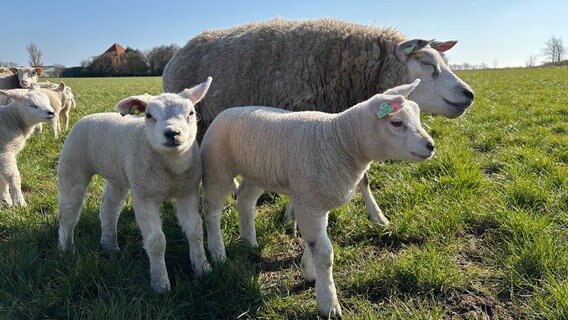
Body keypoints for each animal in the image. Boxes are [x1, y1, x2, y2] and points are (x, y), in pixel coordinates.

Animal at [58, 78, 213, 292]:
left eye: (191, 113)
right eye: (149, 115)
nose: (172, 133)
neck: (172, 170)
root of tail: (90, 116)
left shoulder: (188, 192)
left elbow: (195, 230)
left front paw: (203, 268)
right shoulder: (144, 197)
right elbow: (156, 241)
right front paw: (160, 283)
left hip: (117, 176)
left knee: (109, 208)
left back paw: (109, 245)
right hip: (72, 166)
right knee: (68, 213)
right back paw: (66, 249)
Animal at [163, 18, 474, 225]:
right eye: (428, 65)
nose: (469, 95)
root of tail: (176, 55)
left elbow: (364, 178)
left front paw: (377, 215)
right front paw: (293, 216)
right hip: (198, 126)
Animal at [201, 80, 434, 318]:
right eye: (396, 122)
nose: (431, 145)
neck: (340, 140)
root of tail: (228, 110)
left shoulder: (313, 200)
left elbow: (313, 242)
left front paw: (309, 270)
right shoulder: (309, 203)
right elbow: (324, 254)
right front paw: (328, 303)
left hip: (258, 172)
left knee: (245, 200)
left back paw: (249, 241)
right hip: (216, 167)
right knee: (212, 212)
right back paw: (218, 254)